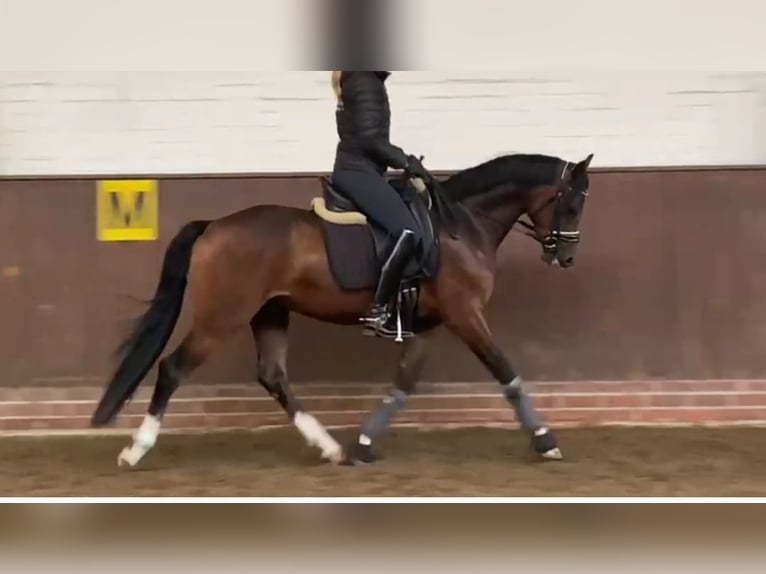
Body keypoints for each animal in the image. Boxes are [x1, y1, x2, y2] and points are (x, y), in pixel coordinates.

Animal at [90, 153, 592, 468]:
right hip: (223, 318)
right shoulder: (464, 315)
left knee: (273, 375)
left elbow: (404, 384)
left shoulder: (428, 323)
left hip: (269, 313)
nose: (567, 257)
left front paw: (366, 443)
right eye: (572, 202)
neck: (460, 225)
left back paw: (330, 448)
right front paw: (546, 442)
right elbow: (506, 372)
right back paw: (136, 450)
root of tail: (215, 225)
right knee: (173, 369)